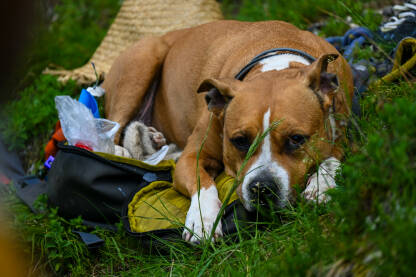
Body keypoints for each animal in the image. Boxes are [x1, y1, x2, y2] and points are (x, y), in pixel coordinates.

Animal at [102, 20, 352, 243]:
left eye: (296, 139)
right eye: (240, 140)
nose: (262, 188)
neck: (278, 55)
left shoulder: (345, 135)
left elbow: (332, 159)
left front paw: (321, 184)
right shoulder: (192, 157)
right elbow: (203, 182)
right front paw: (203, 219)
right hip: (142, 60)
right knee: (114, 127)